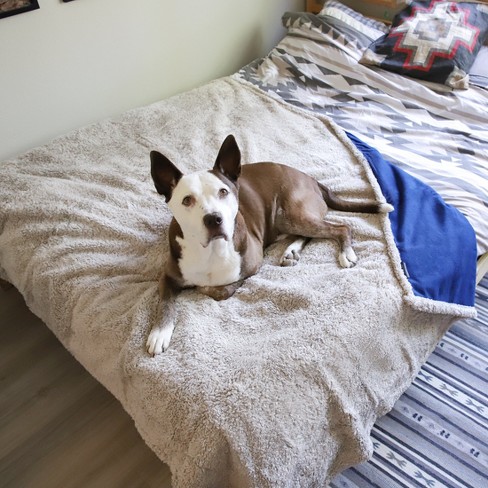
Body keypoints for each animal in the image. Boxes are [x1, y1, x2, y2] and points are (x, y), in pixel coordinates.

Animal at [146, 134, 392, 354]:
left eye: (223, 192)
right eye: (187, 200)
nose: (214, 219)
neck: (210, 250)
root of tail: (311, 179)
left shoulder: (253, 264)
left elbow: (222, 289)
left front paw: (206, 288)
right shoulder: (168, 276)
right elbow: (164, 303)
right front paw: (159, 333)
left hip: (290, 213)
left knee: (341, 227)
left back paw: (345, 253)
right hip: (289, 218)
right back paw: (291, 250)